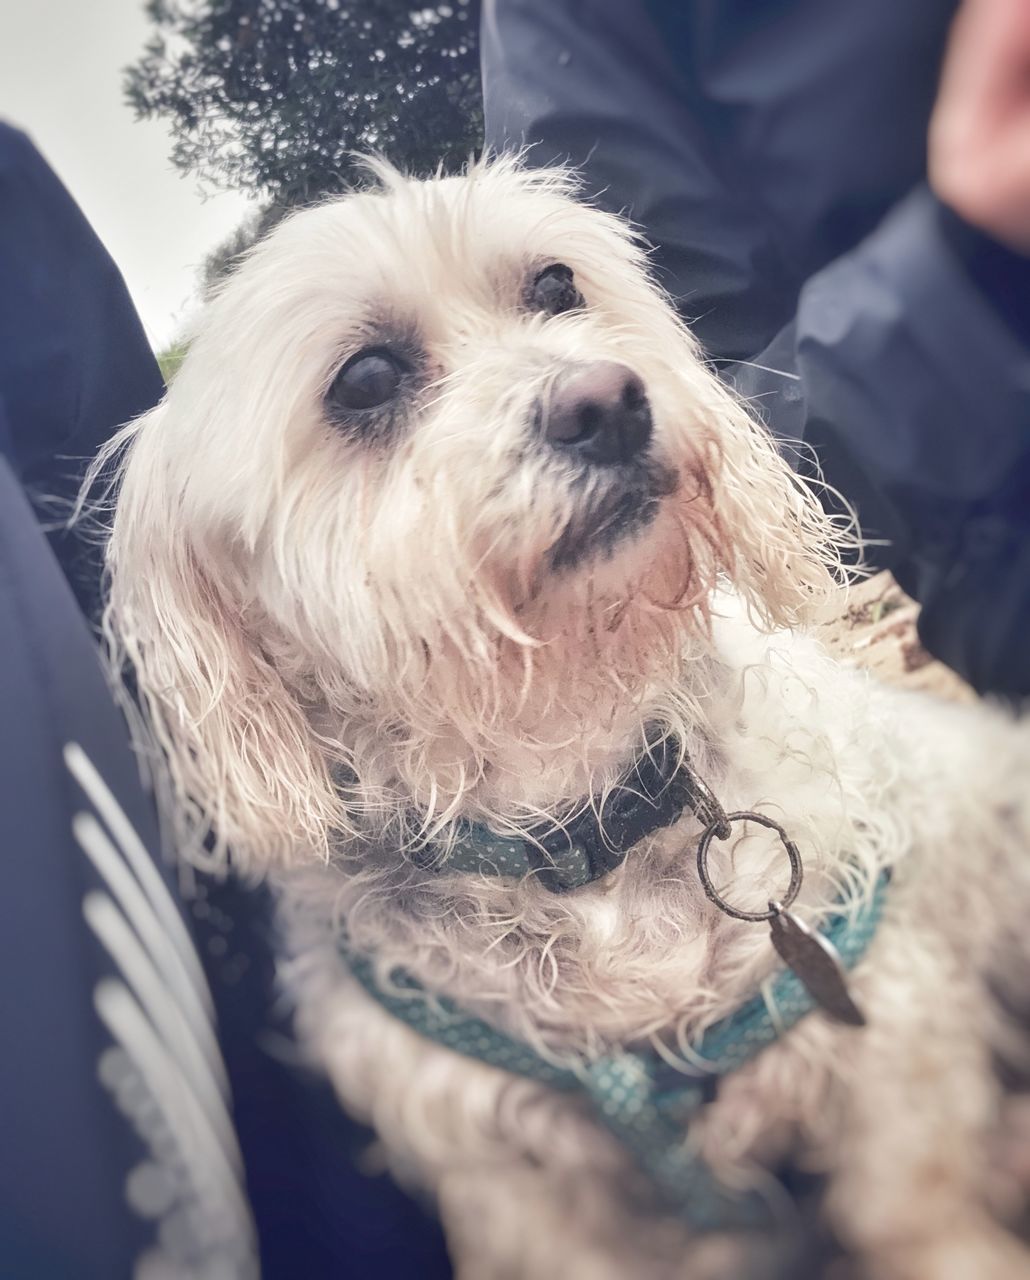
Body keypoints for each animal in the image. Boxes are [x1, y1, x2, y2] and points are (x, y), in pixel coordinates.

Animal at [94, 162, 1028, 1280]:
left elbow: (908, 1207)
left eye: (554, 285)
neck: (587, 821)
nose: (607, 400)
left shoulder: (881, 1004)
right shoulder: (510, 1174)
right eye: (364, 380)